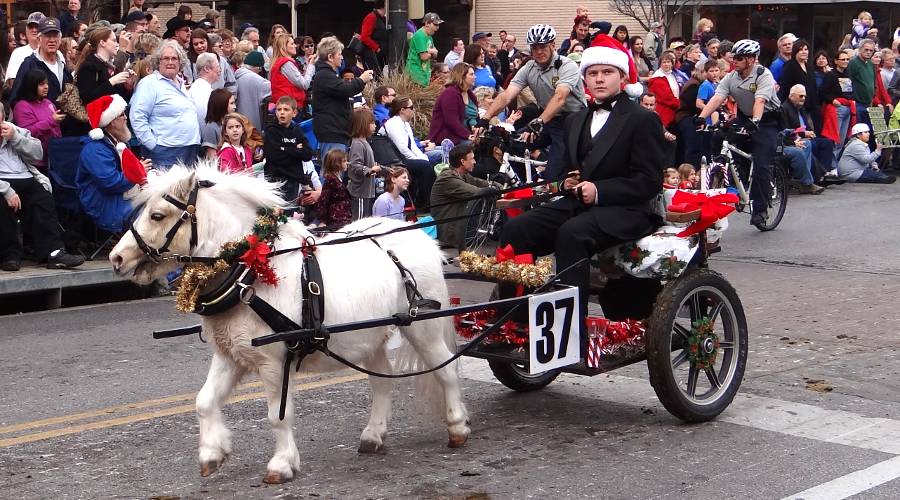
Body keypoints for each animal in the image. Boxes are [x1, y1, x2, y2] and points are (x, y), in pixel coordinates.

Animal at [109, 164, 468, 484]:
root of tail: (419, 235)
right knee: (382, 382)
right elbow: (204, 401)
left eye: (157, 216)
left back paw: (457, 426)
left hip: (421, 326)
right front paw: (212, 453)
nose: (116, 258)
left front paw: (281, 464)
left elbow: (278, 416)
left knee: (446, 370)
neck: (249, 274)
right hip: (369, 336)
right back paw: (373, 435)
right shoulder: (230, 355)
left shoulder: (273, 362)